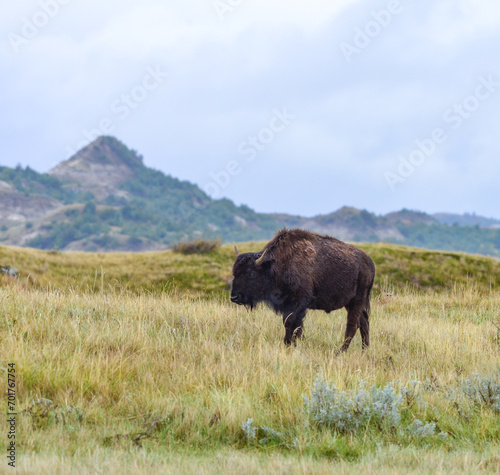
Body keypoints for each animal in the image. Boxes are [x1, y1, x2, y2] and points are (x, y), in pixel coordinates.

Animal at [230, 229, 376, 352]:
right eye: (234, 273)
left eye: (251, 273)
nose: (234, 297)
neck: (276, 265)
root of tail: (370, 263)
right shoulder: (289, 305)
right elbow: (294, 325)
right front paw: (293, 344)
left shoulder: (298, 303)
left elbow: (291, 323)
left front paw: (289, 344)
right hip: (351, 303)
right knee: (364, 322)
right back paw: (364, 350)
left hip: (357, 300)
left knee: (353, 325)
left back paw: (340, 352)